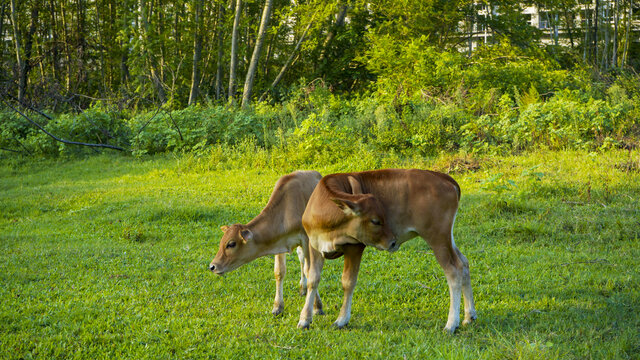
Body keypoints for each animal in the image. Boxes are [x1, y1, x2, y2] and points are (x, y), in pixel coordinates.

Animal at [209, 172, 322, 316]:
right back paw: (303, 288)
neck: (287, 211)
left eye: (231, 244)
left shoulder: (307, 239)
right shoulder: (280, 241)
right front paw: (278, 306)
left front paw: (317, 306)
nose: (212, 266)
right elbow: (279, 271)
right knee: (301, 257)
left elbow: (310, 270)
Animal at [296, 169, 476, 332]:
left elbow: (348, 281)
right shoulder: (313, 245)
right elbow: (313, 278)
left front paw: (341, 320)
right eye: (376, 221)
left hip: (437, 237)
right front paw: (304, 319)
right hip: (447, 237)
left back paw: (451, 323)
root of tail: (444, 178)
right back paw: (469, 316)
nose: (392, 242)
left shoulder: (355, 246)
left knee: (454, 270)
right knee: (464, 263)